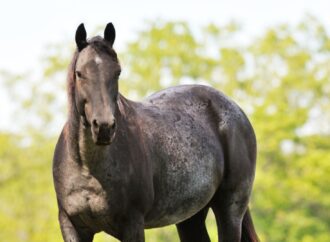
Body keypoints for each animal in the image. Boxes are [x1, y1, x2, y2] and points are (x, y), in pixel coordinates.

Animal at [52, 23, 260, 242]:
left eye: (117, 72)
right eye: (80, 73)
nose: (104, 127)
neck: (88, 167)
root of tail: (236, 109)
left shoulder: (132, 224)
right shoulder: (72, 226)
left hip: (229, 209)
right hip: (190, 216)